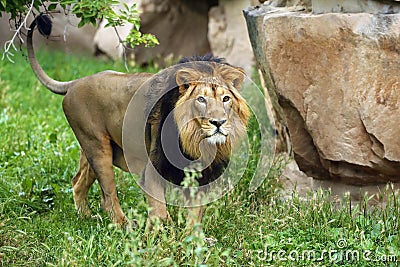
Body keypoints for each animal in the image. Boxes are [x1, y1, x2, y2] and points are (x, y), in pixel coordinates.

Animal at [27, 15, 250, 228]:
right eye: (201, 99)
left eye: (226, 99)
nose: (218, 122)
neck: (194, 140)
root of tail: (76, 82)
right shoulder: (152, 169)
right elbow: (160, 212)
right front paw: (162, 236)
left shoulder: (201, 177)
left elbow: (194, 218)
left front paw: (192, 239)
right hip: (97, 147)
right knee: (108, 197)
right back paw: (125, 227)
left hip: (95, 148)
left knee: (78, 182)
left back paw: (86, 218)